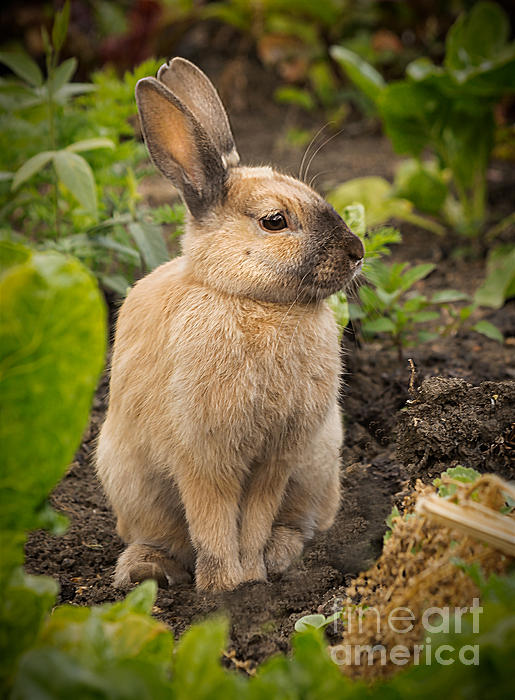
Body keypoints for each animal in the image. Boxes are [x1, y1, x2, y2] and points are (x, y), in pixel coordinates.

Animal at [95, 58, 362, 592]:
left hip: (317, 466)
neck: (249, 299)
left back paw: (281, 555)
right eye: (275, 221)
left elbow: (253, 521)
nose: (357, 251)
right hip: (129, 481)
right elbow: (214, 525)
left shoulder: (275, 460)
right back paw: (145, 569)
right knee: (163, 536)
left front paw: (252, 579)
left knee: (298, 523)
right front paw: (224, 590)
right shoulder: (203, 459)